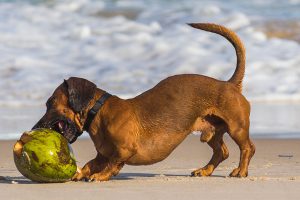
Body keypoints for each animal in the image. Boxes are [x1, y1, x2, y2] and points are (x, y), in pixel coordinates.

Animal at [34, 22, 256, 180]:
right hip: (210, 133)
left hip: (236, 128)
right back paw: (205, 170)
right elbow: (91, 163)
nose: (36, 128)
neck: (99, 112)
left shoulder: (124, 150)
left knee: (247, 148)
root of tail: (229, 84)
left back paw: (240, 171)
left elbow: (113, 163)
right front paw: (82, 173)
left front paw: (101, 175)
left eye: (50, 103)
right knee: (222, 152)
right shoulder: (102, 154)